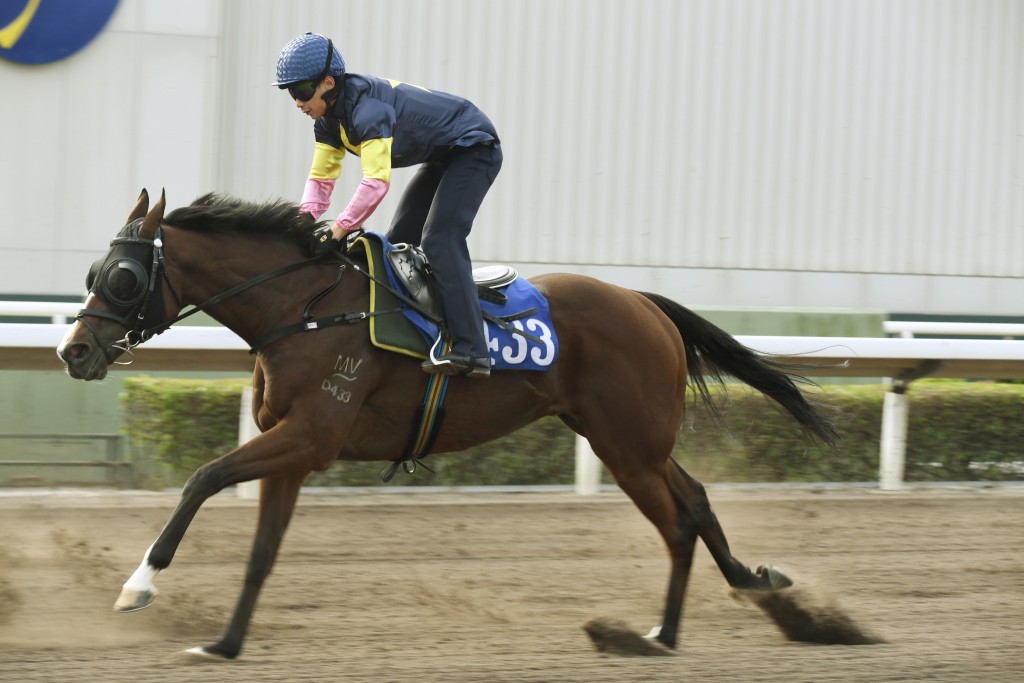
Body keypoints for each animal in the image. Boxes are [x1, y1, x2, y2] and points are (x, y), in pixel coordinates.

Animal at [58, 189, 839, 659]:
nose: (74, 352)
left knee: (678, 522)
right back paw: (739, 595)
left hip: (627, 447)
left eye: (123, 278)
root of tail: (645, 303)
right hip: (627, 440)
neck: (303, 308)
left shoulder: (309, 437)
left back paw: (665, 634)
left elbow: (202, 477)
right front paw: (224, 643)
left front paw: (139, 585)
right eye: (94, 270)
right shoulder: (295, 452)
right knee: (697, 500)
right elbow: (261, 554)